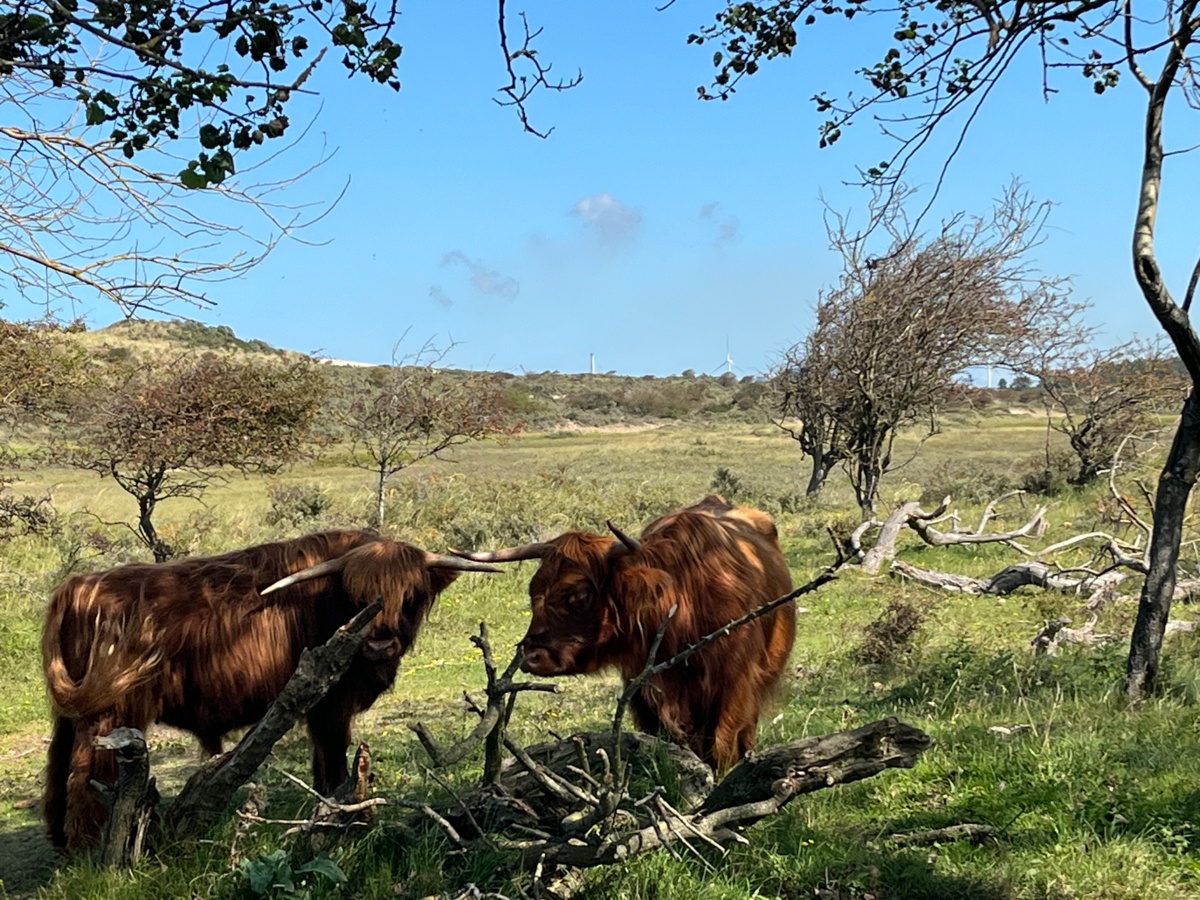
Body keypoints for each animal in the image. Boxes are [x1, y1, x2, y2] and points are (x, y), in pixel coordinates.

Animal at [41, 532, 492, 854]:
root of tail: (77, 585)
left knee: (59, 763)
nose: (381, 645)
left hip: (74, 713)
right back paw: (86, 848)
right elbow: (334, 760)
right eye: (361, 598)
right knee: (86, 773)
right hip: (112, 712)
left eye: (411, 596)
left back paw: (60, 841)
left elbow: (323, 763)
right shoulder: (332, 702)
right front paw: (345, 819)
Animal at [458, 496, 796, 772]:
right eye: (534, 592)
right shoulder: (644, 691)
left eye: (580, 594)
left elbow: (721, 744)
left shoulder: (734, 686)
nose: (532, 656)